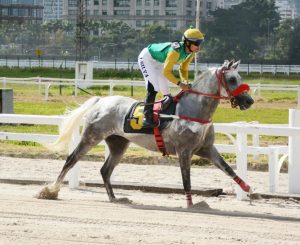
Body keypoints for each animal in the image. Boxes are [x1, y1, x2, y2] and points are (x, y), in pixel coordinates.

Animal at [37, 59, 253, 207]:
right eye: (232, 79)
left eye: (240, 78)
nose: (249, 101)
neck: (193, 110)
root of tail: (101, 101)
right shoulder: (184, 151)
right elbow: (187, 180)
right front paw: (192, 204)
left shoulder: (206, 149)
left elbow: (228, 168)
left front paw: (248, 189)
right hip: (92, 135)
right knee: (71, 159)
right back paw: (50, 190)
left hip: (118, 143)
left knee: (105, 170)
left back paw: (115, 198)